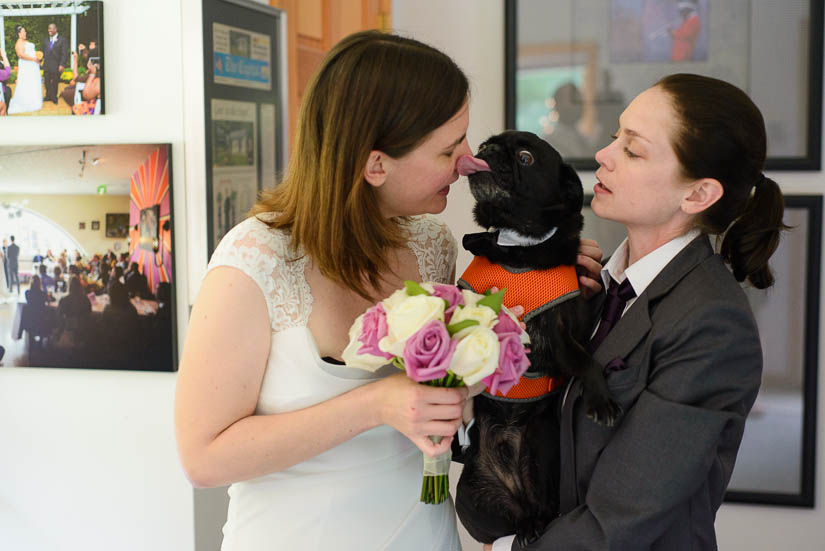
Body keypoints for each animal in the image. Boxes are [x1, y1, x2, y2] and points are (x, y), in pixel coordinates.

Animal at [450, 132, 616, 544]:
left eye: (525, 158)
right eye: (486, 144)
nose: (488, 152)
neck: (518, 249)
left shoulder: (560, 337)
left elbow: (587, 360)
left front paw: (601, 399)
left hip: (541, 443)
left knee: (541, 507)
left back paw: (536, 522)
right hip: (470, 495)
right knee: (508, 520)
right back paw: (524, 525)